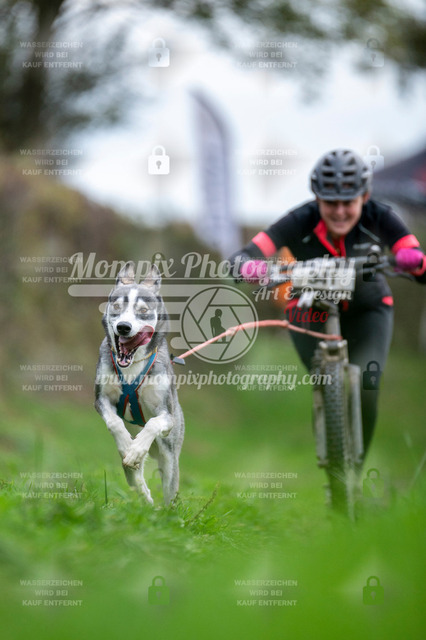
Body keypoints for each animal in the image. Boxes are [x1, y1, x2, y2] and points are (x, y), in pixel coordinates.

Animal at [95, 261, 184, 505]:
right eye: (117, 306)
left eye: (143, 311)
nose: (124, 327)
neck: (132, 365)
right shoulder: (101, 399)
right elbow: (114, 422)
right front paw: (127, 444)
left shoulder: (167, 414)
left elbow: (153, 423)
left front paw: (135, 448)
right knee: (132, 473)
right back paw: (144, 494)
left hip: (170, 455)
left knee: (169, 486)